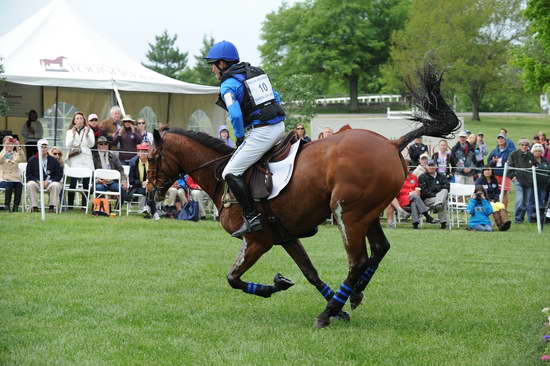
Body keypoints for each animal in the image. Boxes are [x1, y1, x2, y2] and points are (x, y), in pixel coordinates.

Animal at [147, 63, 462, 328]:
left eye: (150, 157)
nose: (150, 195)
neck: (220, 174)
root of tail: (391, 143)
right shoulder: (285, 235)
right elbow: (310, 273)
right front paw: (332, 305)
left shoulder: (257, 240)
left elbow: (233, 278)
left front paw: (278, 287)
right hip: (369, 213)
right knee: (379, 249)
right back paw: (354, 295)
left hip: (347, 214)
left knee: (358, 260)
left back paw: (326, 314)